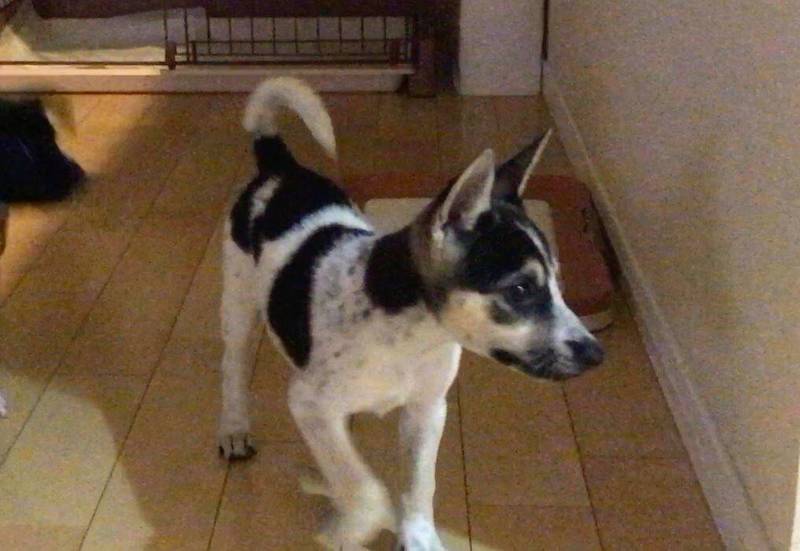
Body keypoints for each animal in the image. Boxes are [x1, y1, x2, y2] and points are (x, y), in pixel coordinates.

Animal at [217, 78, 604, 550]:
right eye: (520, 290)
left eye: (558, 285)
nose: (596, 354)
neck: (407, 336)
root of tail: (279, 167)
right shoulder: (308, 403)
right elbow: (363, 487)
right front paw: (350, 525)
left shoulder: (427, 409)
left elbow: (419, 484)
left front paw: (418, 538)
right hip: (238, 302)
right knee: (233, 367)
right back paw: (234, 428)